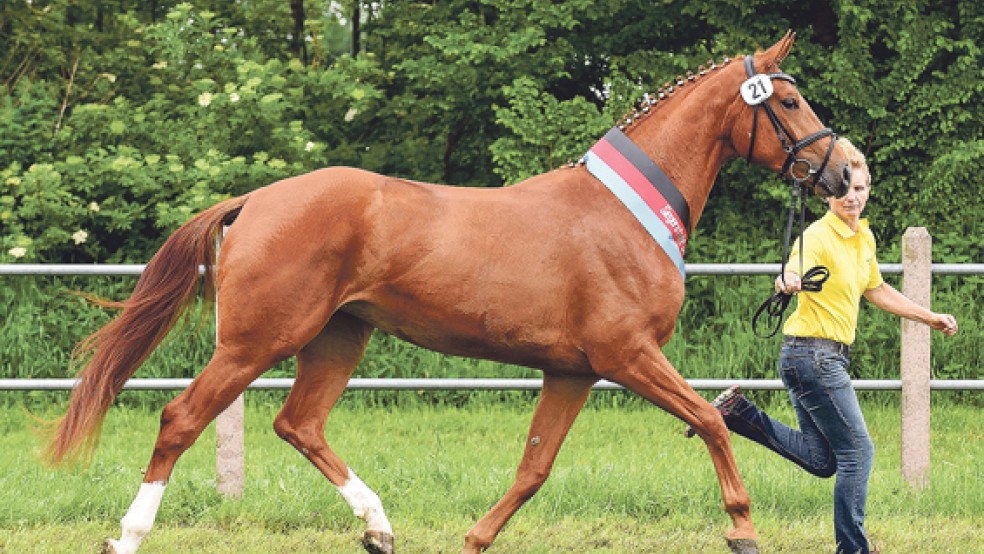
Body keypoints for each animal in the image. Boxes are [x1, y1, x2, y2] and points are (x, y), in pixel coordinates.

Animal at [46, 32, 844, 548]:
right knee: (182, 419)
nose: (842, 172)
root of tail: (253, 201)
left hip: (338, 337)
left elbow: (532, 469)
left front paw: (475, 537)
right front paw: (741, 526)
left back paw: (378, 526)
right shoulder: (627, 356)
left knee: (299, 425)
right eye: (791, 103)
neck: (624, 213)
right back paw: (129, 535)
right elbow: (710, 420)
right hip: (257, 341)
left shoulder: (573, 372)